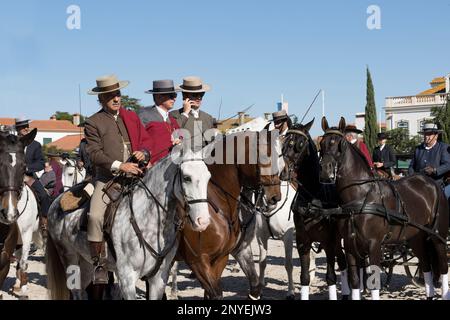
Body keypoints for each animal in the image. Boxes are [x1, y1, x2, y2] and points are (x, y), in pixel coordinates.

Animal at [45, 145, 213, 300]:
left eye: (208, 177)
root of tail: (56, 202)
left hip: (86, 262)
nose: (203, 221)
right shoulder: (127, 278)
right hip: (70, 258)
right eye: (187, 178)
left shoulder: (159, 278)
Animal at [173, 129, 282, 300]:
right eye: (264, 158)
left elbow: (255, 286)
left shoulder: (232, 253)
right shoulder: (198, 261)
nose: (275, 197)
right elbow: (215, 293)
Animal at [280, 119, 350, 300]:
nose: (283, 172)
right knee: (343, 262)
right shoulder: (303, 242)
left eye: (300, 143)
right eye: (284, 141)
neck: (313, 196)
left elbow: (330, 277)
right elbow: (304, 277)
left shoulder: (328, 242)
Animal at [320, 117, 450, 300]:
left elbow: (374, 282)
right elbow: (355, 282)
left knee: (443, 267)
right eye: (322, 143)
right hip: (416, 238)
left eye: (341, 144)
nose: (325, 171)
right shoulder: (350, 247)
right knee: (425, 265)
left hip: (438, 236)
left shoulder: (374, 245)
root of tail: (432, 184)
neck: (361, 195)